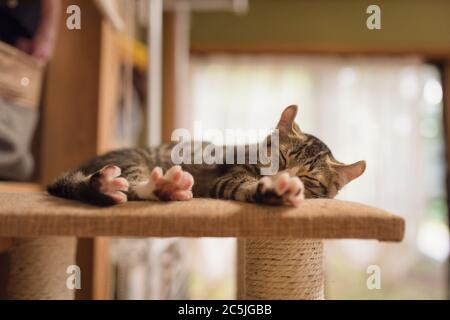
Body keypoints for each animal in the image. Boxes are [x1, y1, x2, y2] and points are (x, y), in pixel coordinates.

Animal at [47, 106, 368, 208]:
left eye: (307, 178)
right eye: (282, 159)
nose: (281, 176)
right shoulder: (228, 177)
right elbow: (243, 184)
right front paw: (276, 188)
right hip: (132, 160)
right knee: (132, 186)